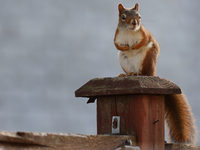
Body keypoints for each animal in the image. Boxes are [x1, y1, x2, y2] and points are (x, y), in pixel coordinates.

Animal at [114, 3, 197, 144]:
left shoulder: (145, 34)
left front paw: (134, 47)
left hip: (146, 57)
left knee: (144, 72)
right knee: (129, 68)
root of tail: (152, 73)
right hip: (122, 58)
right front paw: (126, 47)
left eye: (139, 16)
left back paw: (139, 74)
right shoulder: (117, 37)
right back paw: (127, 74)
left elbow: (144, 41)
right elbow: (117, 45)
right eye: (123, 17)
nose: (134, 23)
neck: (130, 32)